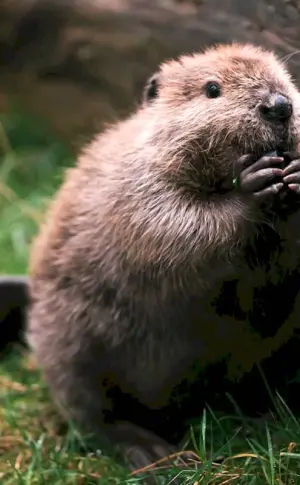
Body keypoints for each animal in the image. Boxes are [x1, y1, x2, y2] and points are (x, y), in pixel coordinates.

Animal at [25, 44, 300, 468]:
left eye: (287, 79)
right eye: (212, 88)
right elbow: (170, 227)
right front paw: (254, 185)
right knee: (89, 411)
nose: (279, 105)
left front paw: (295, 174)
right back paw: (151, 452)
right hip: (67, 338)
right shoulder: (134, 182)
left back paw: (265, 420)